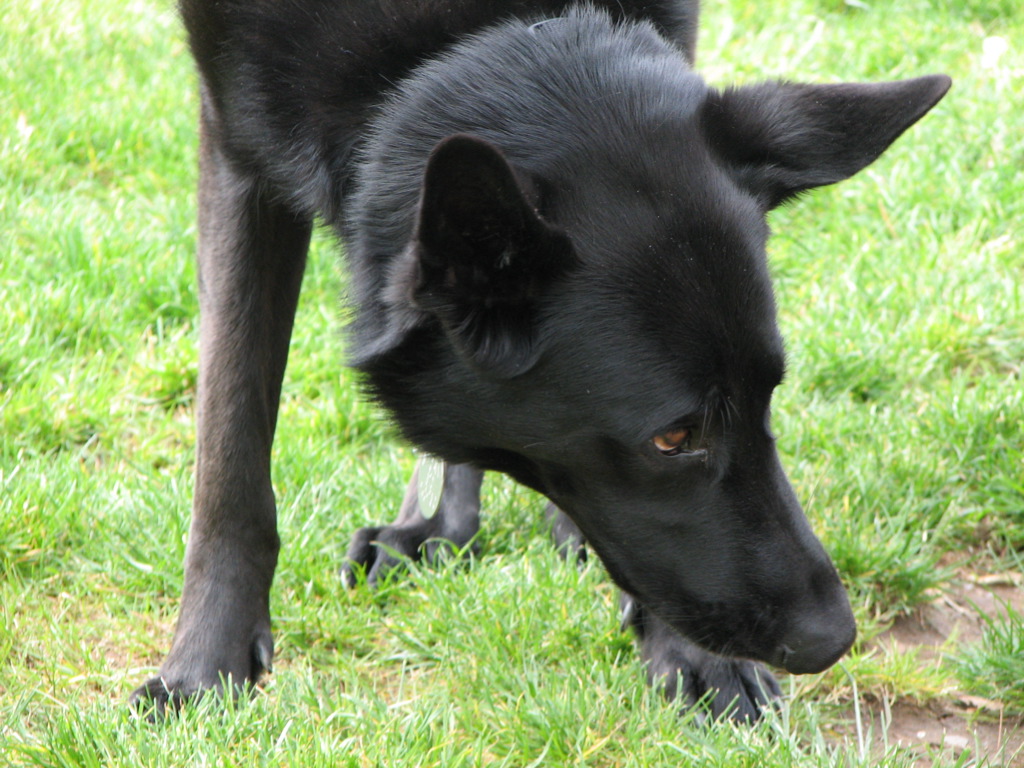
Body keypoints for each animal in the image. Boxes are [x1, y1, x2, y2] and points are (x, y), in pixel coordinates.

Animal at [132, 0, 946, 724]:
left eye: (768, 395)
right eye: (672, 437)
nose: (833, 637)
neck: (472, 40)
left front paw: (695, 658)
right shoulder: (235, 147)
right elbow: (231, 445)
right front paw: (205, 665)